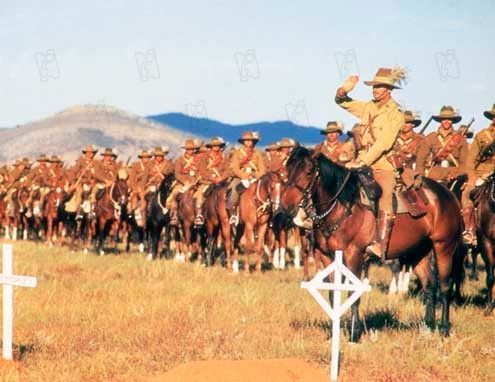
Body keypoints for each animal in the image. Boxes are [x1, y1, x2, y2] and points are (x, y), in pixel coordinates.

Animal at [280, 147, 464, 340]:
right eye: (288, 169)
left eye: (309, 172)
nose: (286, 205)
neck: (343, 205)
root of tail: (448, 194)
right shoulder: (327, 257)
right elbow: (332, 294)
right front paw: (333, 332)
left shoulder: (354, 255)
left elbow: (353, 293)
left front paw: (355, 333)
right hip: (418, 251)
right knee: (429, 285)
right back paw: (427, 327)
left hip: (443, 246)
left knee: (444, 286)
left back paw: (444, 328)